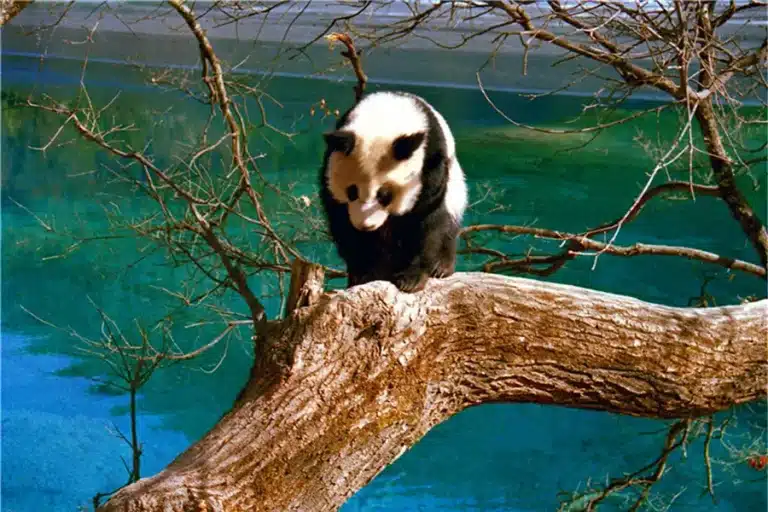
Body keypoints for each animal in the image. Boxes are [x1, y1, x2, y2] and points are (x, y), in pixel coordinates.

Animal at [319, 91, 468, 293]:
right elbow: (342, 222)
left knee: (448, 223)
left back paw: (441, 266)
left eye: (384, 195)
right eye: (352, 191)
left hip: (455, 190)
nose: (366, 226)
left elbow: (425, 220)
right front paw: (365, 272)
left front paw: (411, 279)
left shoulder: (431, 165)